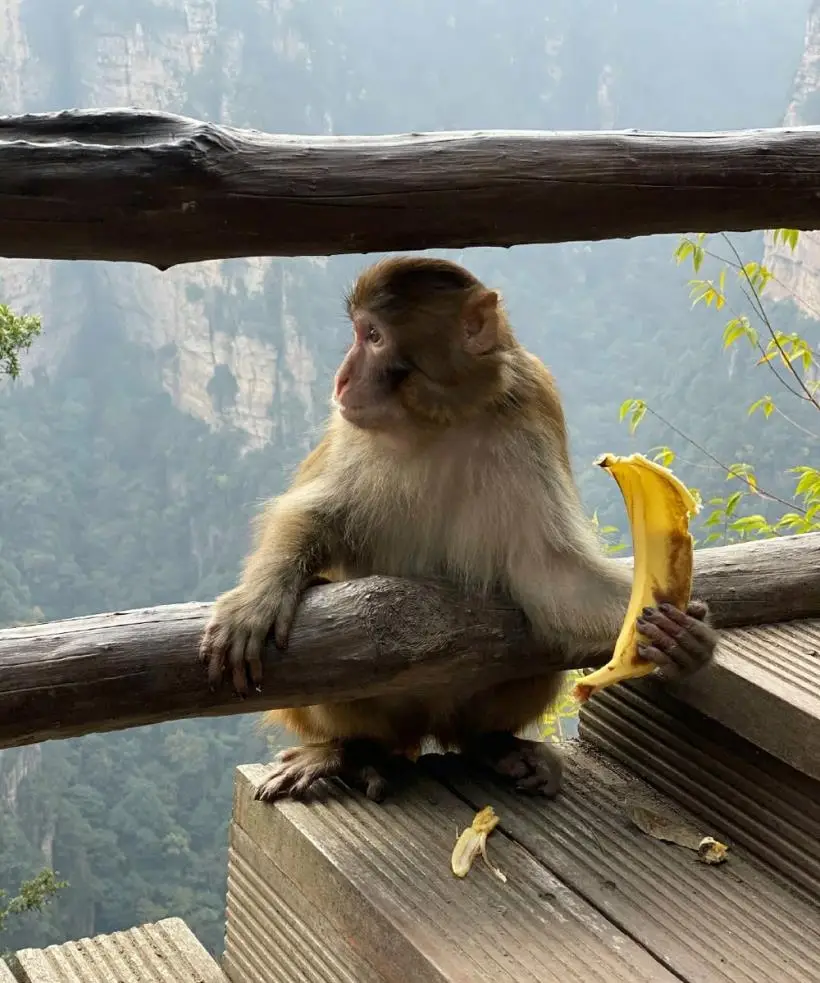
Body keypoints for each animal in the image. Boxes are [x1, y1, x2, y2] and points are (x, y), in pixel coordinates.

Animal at [200, 258, 716, 804]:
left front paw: (688, 642)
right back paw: (352, 751)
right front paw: (259, 598)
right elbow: (315, 514)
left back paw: (494, 744)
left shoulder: (531, 408)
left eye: (374, 337)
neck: (438, 418)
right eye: (360, 334)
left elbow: (553, 577)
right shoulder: (350, 431)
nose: (341, 380)